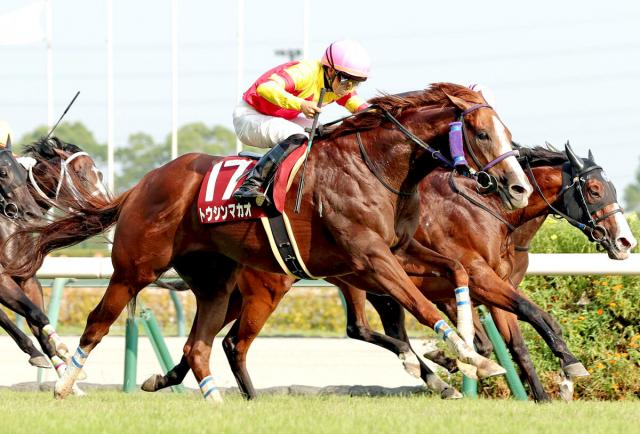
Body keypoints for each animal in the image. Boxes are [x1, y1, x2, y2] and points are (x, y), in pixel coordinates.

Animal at [5, 83, 532, 398]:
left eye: (508, 131)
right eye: (482, 133)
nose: (518, 187)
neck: (376, 166)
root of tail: (142, 185)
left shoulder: (401, 250)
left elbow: (458, 272)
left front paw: (470, 348)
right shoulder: (371, 258)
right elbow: (420, 304)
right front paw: (470, 358)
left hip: (215, 281)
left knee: (200, 343)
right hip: (138, 267)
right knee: (101, 321)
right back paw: (66, 381)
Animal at [141, 144, 636, 402]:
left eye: (611, 187)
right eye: (595, 189)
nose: (624, 242)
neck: (492, 212)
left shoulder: (488, 285)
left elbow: (515, 340)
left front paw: (544, 393)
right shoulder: (478, 278)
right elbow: (530, 318)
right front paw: (567, 371)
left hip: (296, 285)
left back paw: (163, 378)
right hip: (273, 284)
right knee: (234, 339)